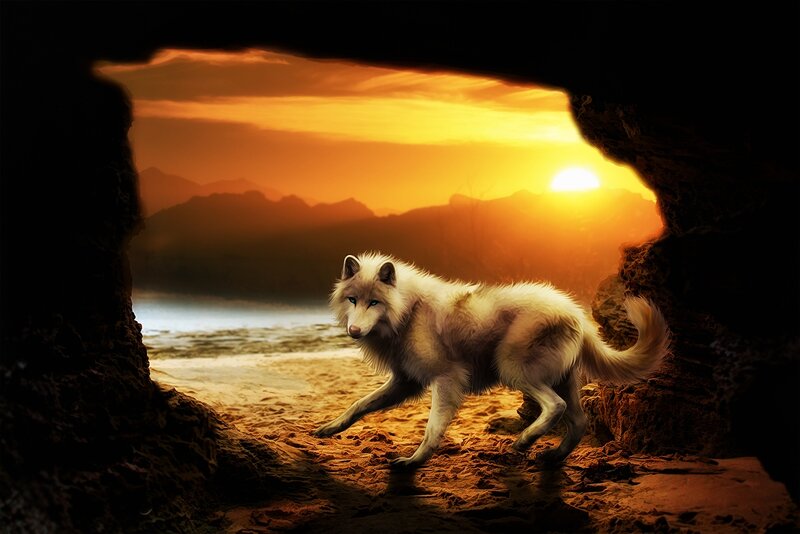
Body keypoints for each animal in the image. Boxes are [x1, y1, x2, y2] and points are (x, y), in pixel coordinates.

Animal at [313, 252, 670, 469]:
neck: (408, 311)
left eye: (374, 302)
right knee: (578, 421)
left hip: (513, 370)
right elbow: (358, 405)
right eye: (352, 300)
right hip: (560, 381)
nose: (354, 331)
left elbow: (431, 428)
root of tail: (576, 312)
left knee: (555, 407)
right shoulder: (404, 382)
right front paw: (329, 428)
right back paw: (552, 457)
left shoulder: (446, 380)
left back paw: (524, 442)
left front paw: (414, 461)